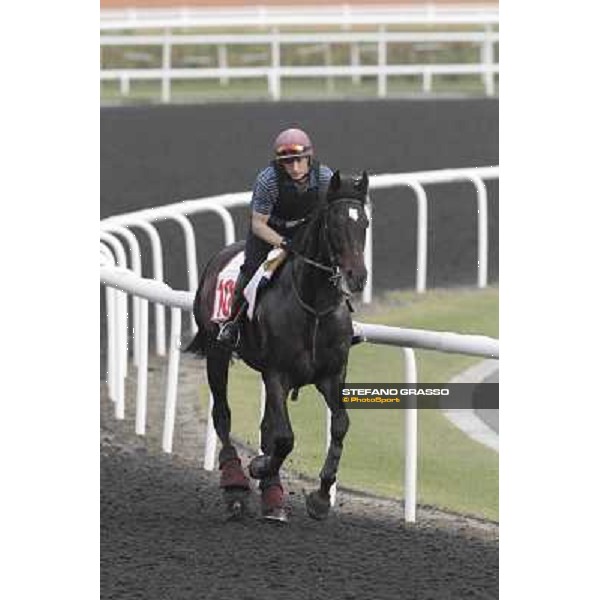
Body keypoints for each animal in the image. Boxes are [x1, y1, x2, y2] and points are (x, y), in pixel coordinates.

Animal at [188, 170, 368, 520]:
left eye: (364, 222)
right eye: (334, 224)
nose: (357, 276)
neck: (313, 306)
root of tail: (219, 257)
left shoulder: (332, 376)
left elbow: (340, 425)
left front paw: (320, 497)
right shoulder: (277, 374)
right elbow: (284, 438)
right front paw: (259, 467)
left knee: (264, 425)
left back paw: (272, 496)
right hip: (217, 351)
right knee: (222, 415)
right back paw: (235, 485)